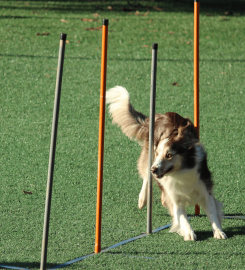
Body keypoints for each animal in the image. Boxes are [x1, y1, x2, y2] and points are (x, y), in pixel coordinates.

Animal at [106, 86, 227, 240]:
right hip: (148, 157)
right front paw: (189, 233)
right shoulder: (174, 198)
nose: (154, 169)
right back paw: (143, 199)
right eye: (158, 153)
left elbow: (212, 212)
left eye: (169, 155)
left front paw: (218, 231)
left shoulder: (205, 190)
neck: (180, 173)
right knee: (146, 175)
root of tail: (159, 116)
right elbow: (182, 218)